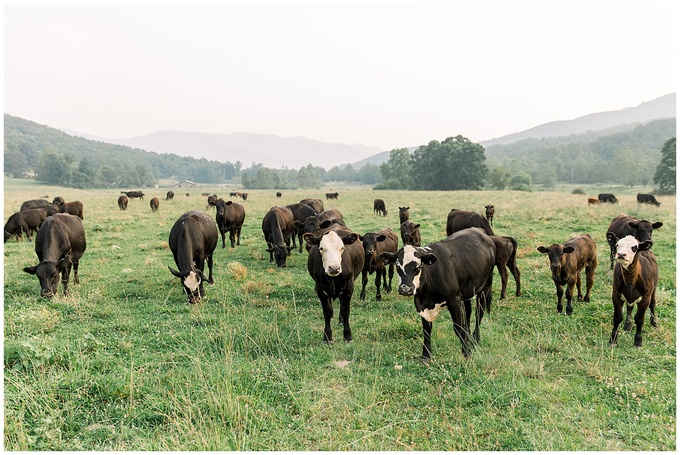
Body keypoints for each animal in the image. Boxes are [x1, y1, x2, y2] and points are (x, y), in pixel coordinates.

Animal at [380, 228, 496, 360]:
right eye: (398, 267)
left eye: (418, 267)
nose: (405, 289)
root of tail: (478, 230)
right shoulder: (422, 304)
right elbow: (427, 329)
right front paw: (426, 355)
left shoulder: (454, 300)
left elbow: (458, 328)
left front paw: (467, 353)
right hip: (468, 291)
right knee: (468, 312)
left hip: (485, 286)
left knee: (479, 313)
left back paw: (475, 340)